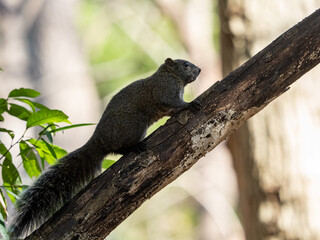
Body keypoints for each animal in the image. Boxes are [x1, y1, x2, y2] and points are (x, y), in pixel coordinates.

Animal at [8, 57, 201, 238]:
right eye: (185, 64)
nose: (199, 69)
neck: (171, 76)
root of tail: (99, 140)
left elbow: (171, 110)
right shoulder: (164, 89)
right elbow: (173, 102)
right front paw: (190, 104)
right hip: (134, 124)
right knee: (118, 148)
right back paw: (134, 147)